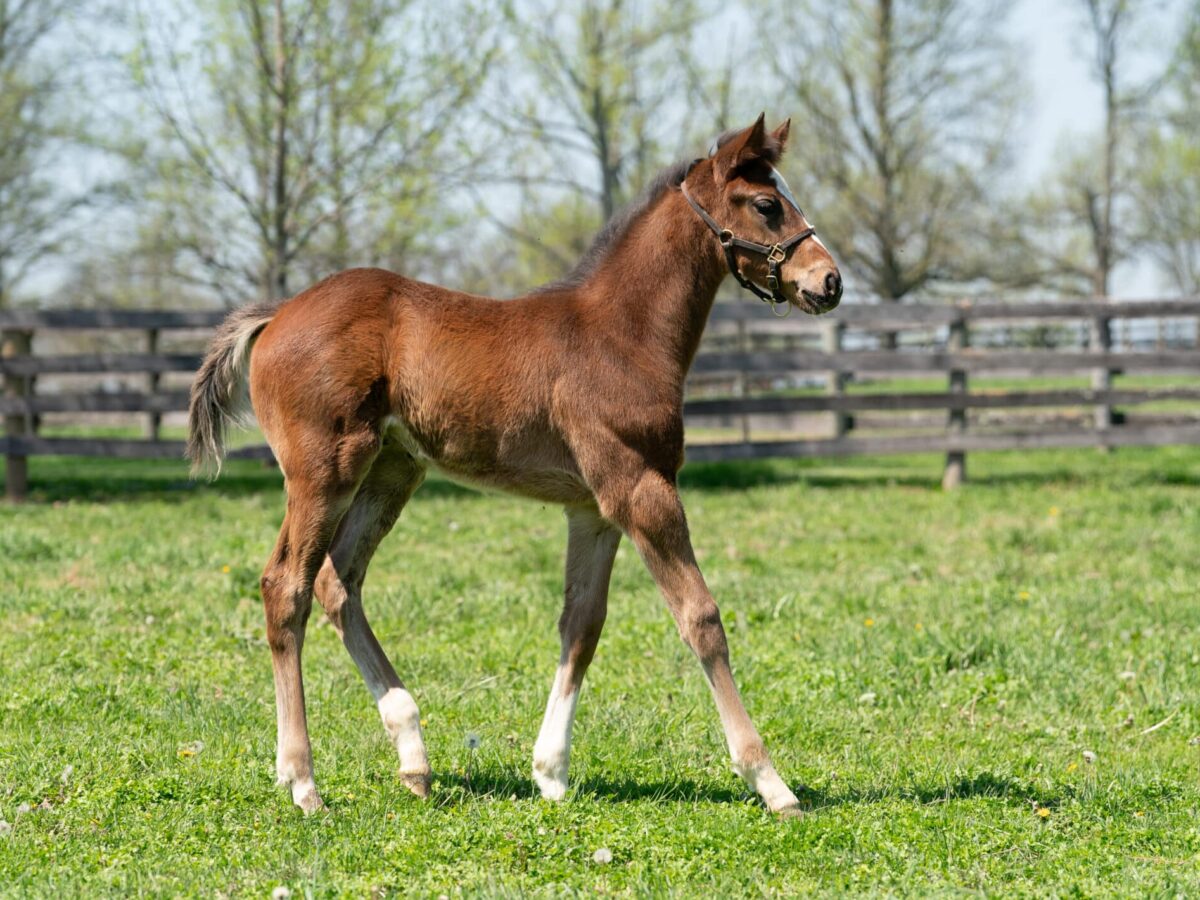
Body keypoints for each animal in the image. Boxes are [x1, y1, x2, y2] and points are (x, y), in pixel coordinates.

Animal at [187, 112, 844, 816]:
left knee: (340, 582)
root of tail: (277, 315)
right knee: (286, 586)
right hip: (324, 471)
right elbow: (700, 618)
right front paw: (769, 780)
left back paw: (413, 755)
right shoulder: (641, 488)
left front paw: (550, 772)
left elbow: (582, 623)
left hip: (393, 470)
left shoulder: (593, 509)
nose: (830, 281)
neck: (622, 335)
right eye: (767, 204)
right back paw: (302, 779)